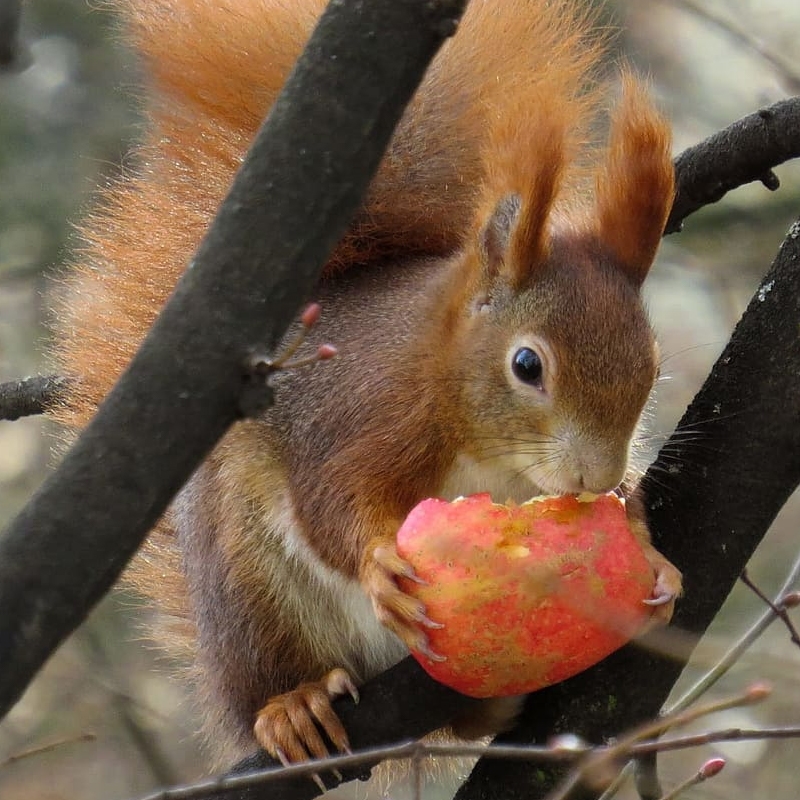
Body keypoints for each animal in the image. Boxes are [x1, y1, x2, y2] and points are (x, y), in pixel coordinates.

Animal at [54, 0, 680, 764]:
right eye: (527, 366)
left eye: (653, 362)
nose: (596, 477)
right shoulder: (366, 415)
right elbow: (332, 503)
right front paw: (381, 564)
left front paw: (648, 543)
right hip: (249, 590)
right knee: (270, 669)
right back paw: (289, 707)